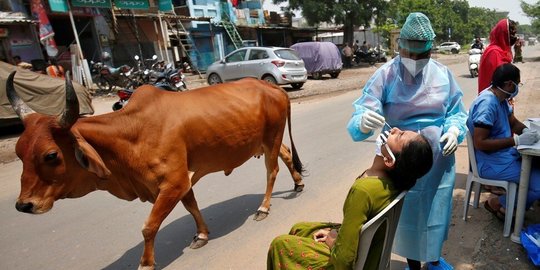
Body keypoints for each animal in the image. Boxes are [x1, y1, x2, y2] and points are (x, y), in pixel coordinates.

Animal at [7, 71, 304, 270]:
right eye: (19, 151)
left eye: (51, 155)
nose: (24, 205)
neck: (130, 135)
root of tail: (273, 87)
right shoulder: (180, 181)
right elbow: (191, 206)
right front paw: (201, 234)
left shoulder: (173, 182)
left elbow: (149, 227)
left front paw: (146, 263)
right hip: (266, 141)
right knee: (287, 156)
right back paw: (298, 183)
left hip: (271, 137)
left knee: (272, 171)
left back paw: (263, 207)